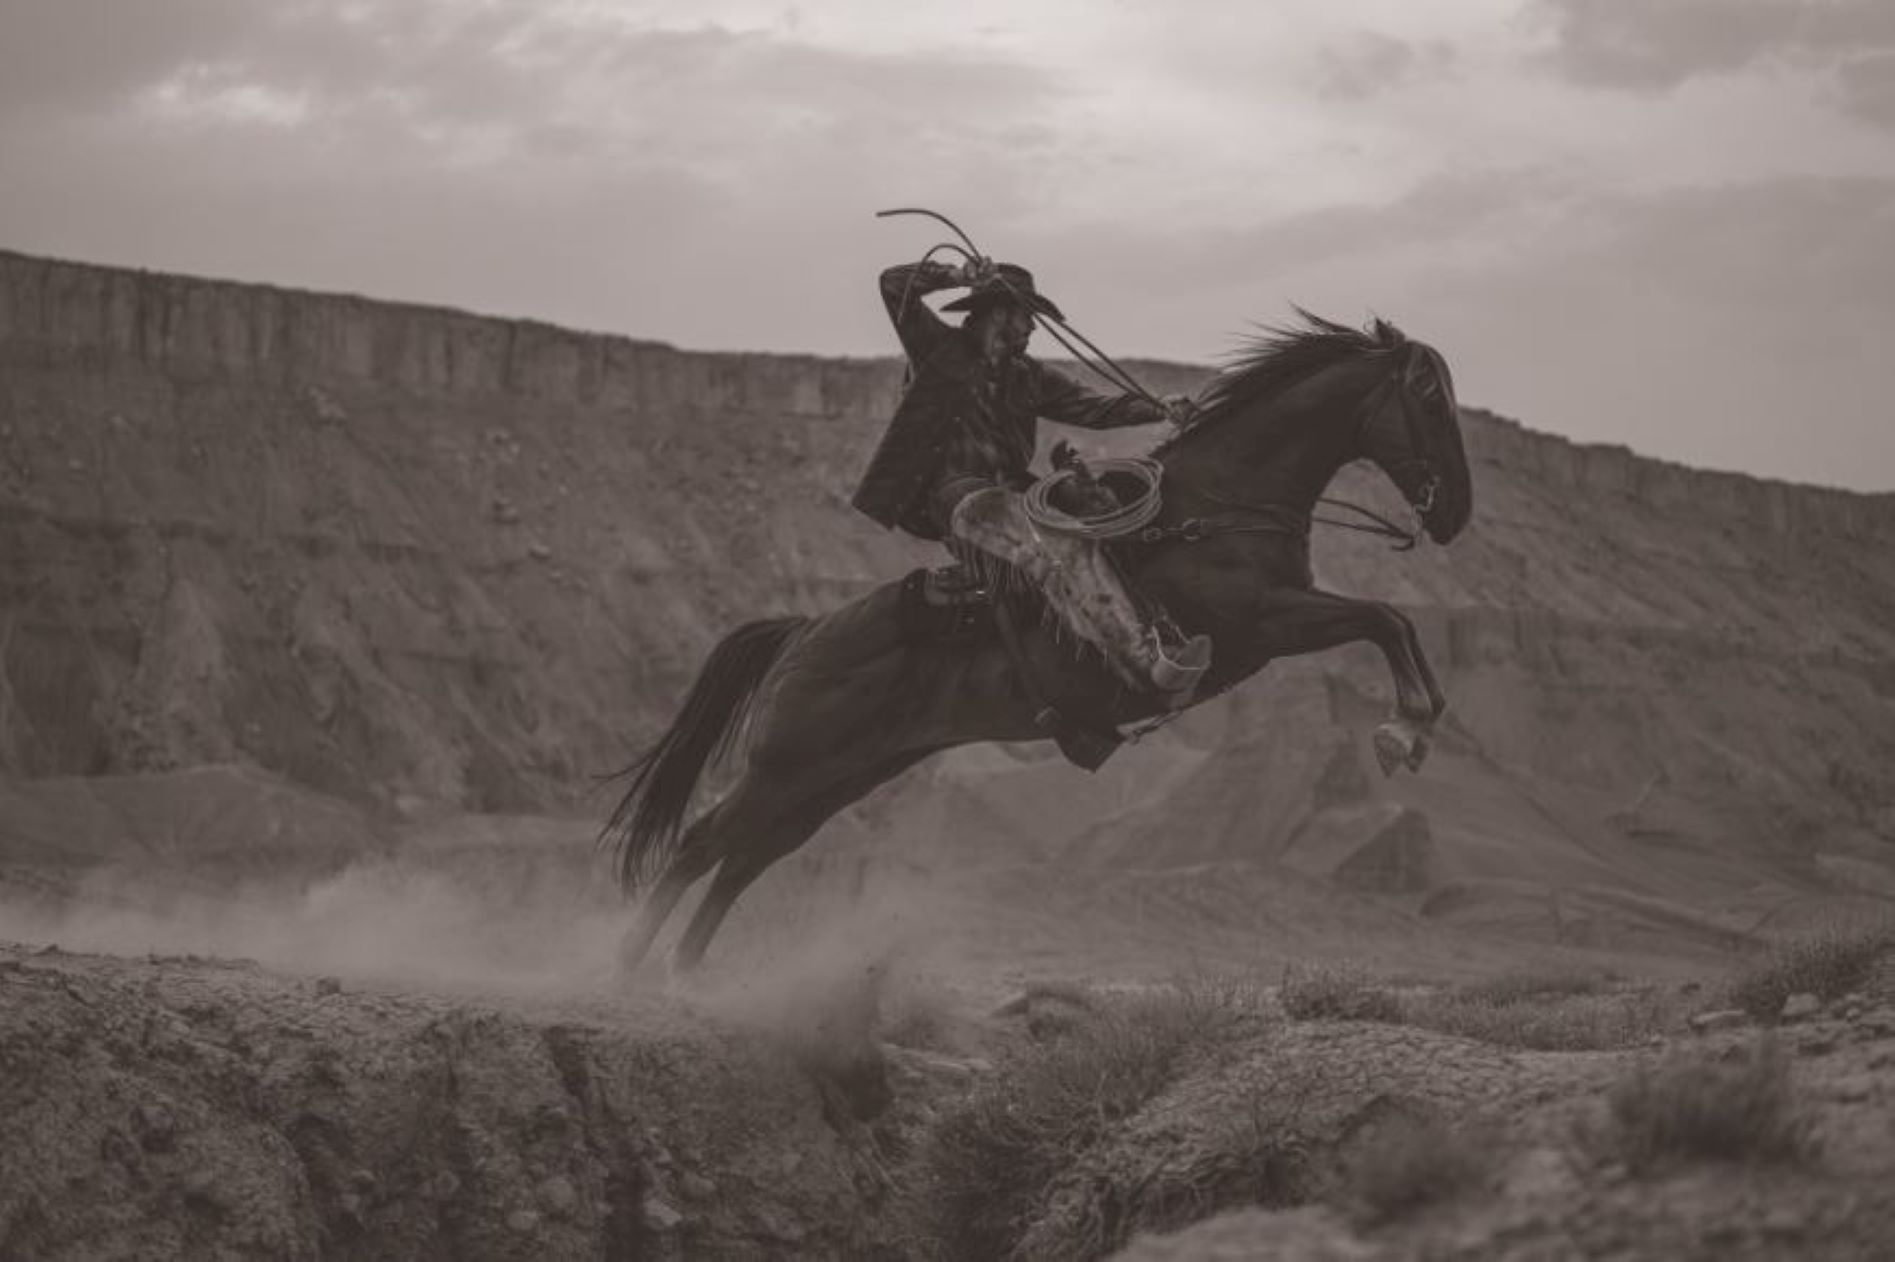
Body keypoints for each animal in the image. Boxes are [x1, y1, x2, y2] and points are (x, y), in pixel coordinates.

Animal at [603, 310, 1472, 977]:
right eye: (1428, 397)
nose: (1456, 512)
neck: (1213, 505)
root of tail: (804, 632)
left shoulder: (1272, 625)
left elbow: (1392, 621)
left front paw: (1413, 727)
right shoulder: (1262, 621)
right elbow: (1383, 618)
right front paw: (1400, 731)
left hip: (835, 778)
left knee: (745, 859)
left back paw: (687, 979)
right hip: (786, 766)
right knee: (699, 845)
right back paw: (626, 973)